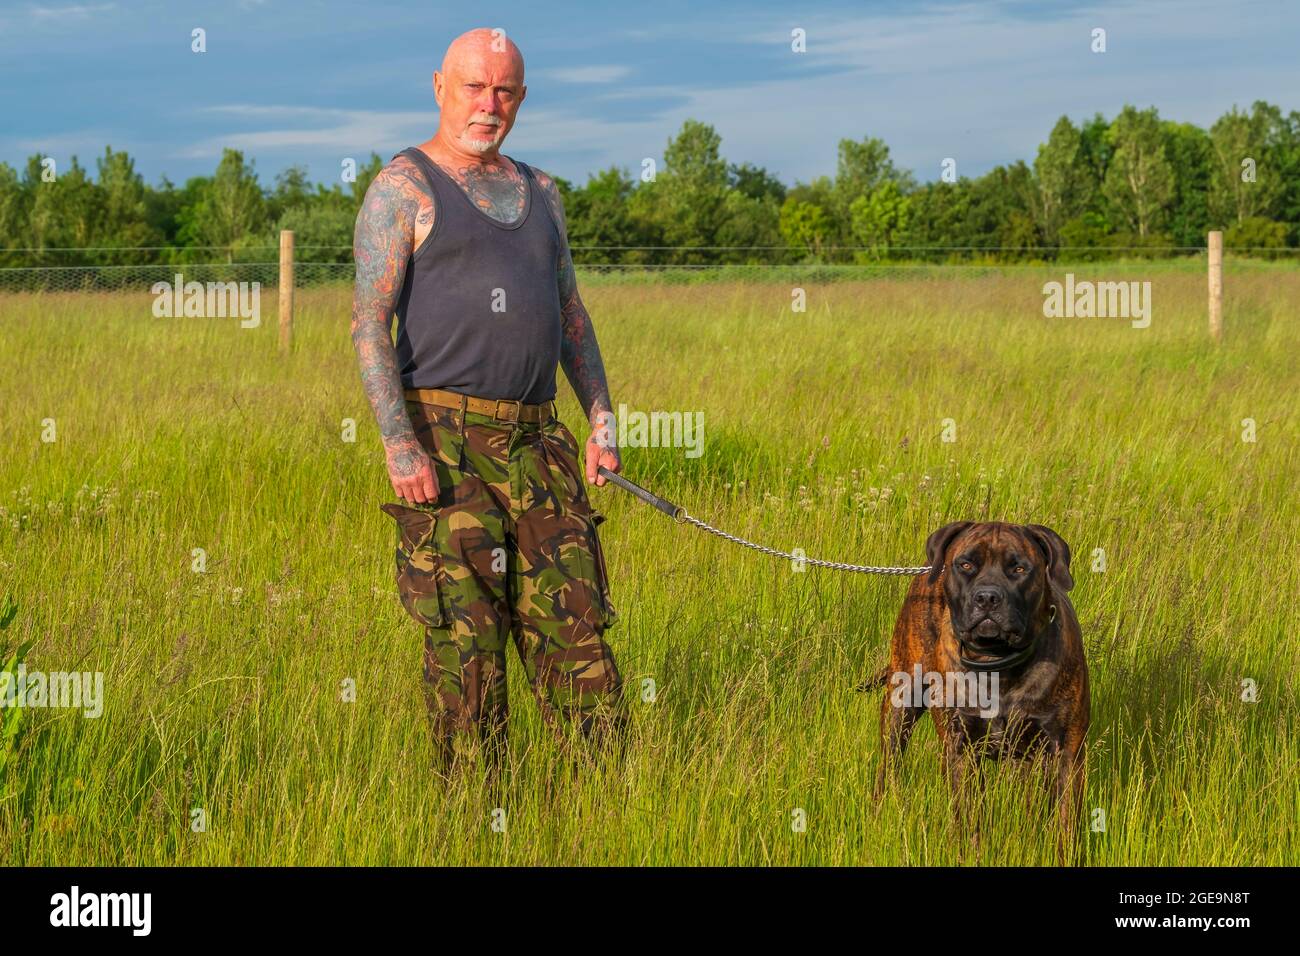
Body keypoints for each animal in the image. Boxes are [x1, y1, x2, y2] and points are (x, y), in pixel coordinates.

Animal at [868, 522, 1092, 853]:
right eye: (966, 565)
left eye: (1019, 568)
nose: (987, 597)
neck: (998, 663)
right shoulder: (962, 749)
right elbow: (969, 817)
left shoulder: (1066, 752)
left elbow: (1065, 824)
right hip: (901, 704)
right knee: (890, 763)